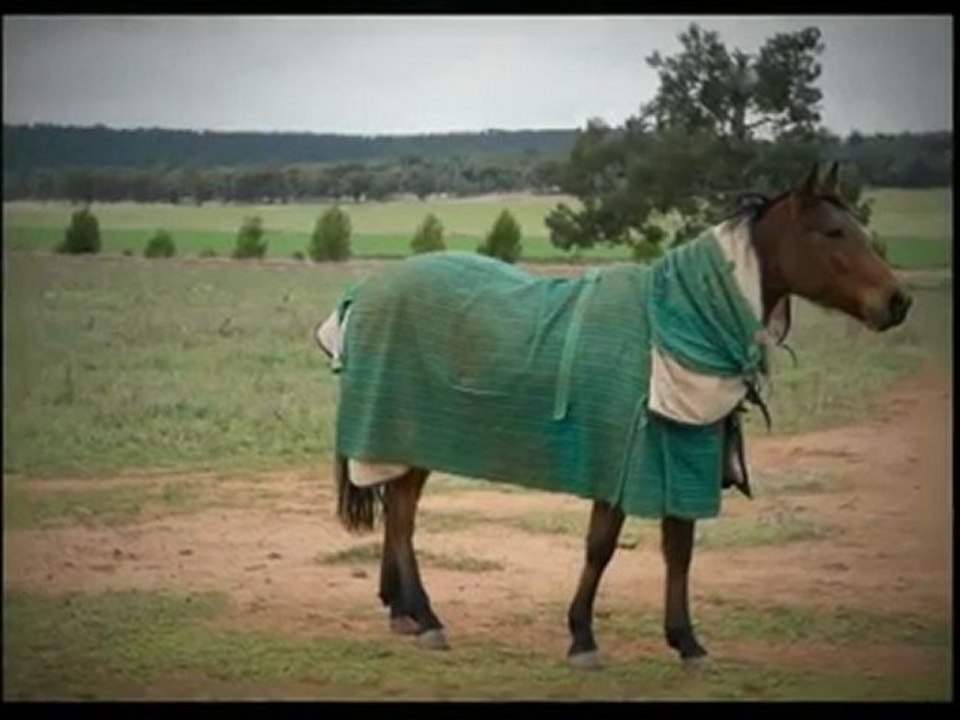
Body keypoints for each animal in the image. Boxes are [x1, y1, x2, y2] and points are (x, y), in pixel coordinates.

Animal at [314, 162, 912, 668]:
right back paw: (426, 616)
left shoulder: (682, 457)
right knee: (402, 517)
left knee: (399, 512)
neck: (676, 321)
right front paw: (583, 637)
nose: (898, 302)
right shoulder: (622, 459)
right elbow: (602, 547)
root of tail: (364, 290)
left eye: (858, 229)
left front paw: (686, 641)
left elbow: (679, 548)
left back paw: (403, 612)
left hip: (410, 442)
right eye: (832, 233)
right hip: (400, 433)